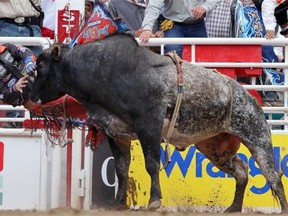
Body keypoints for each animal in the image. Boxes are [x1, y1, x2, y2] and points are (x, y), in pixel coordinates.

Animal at [29, 33, 288, 213]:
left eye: (41, 66)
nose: (28, 95)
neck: (105, 71)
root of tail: (247, 96)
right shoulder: (116, 134)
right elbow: (121, 169)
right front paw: (119, 203)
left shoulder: (149, 125)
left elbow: (152, 164)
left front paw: (154, 201)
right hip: (215, 148)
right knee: (242, 171)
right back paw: (233, 208)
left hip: (257, 137)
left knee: (273, 176)